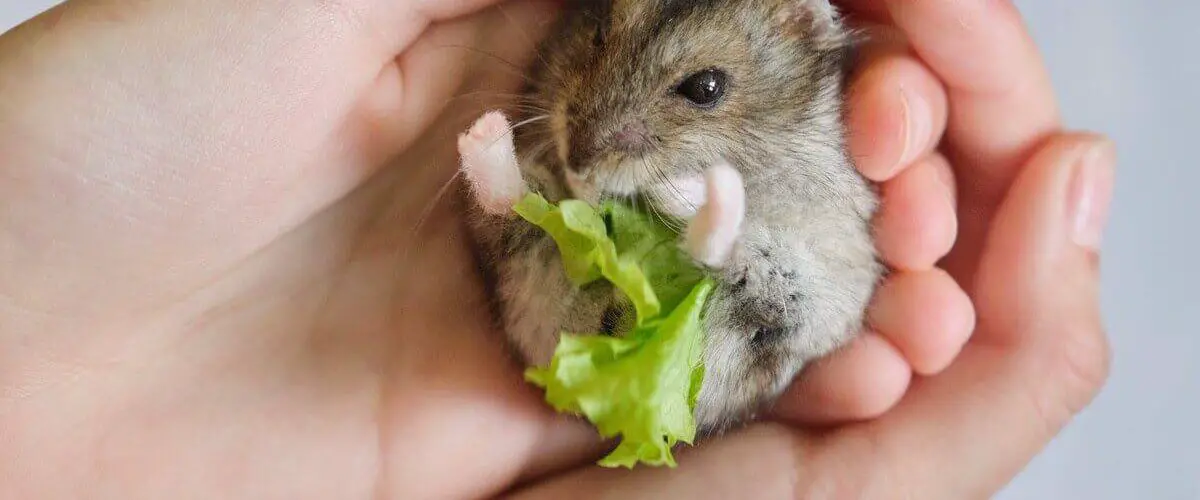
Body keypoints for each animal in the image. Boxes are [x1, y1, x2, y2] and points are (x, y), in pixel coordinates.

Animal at [456, 0, 882, 435]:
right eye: (599, 32)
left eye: (706, 87)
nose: (575, 161)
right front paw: (585, 189)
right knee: (510, 205)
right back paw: (483, 134)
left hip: (798, 298)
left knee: (723, 254)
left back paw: (701, 188)